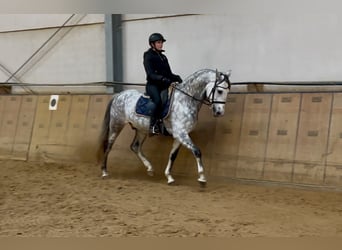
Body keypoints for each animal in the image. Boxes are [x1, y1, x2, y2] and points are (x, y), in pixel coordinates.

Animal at [96, 68, 231, 186]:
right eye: (219, 91)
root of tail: (119, 95)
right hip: (116, 125)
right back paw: (104, 172)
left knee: (135, 146)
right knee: (108, 146)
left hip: (141, 129)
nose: (219, 112)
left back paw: (150, 168)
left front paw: (169, 177)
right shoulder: (181, 133)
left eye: (227, 91)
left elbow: (173, 155)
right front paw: (202, 178)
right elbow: (196, 151)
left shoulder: (179, 135)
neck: (185, 100)